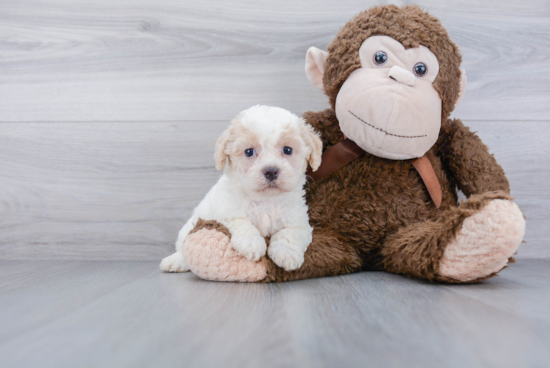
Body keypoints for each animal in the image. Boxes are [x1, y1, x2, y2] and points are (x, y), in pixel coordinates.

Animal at [160, 105, 324, 272]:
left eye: (288, 150)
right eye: (249, 152)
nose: (271, 171)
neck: (265, 200)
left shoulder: (299, 220)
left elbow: (291, 232)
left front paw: (287, 254)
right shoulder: (223, 212)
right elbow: (241, 221)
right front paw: (252, 244)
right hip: (188, 227)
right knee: (182, 247)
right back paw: (175, 261)